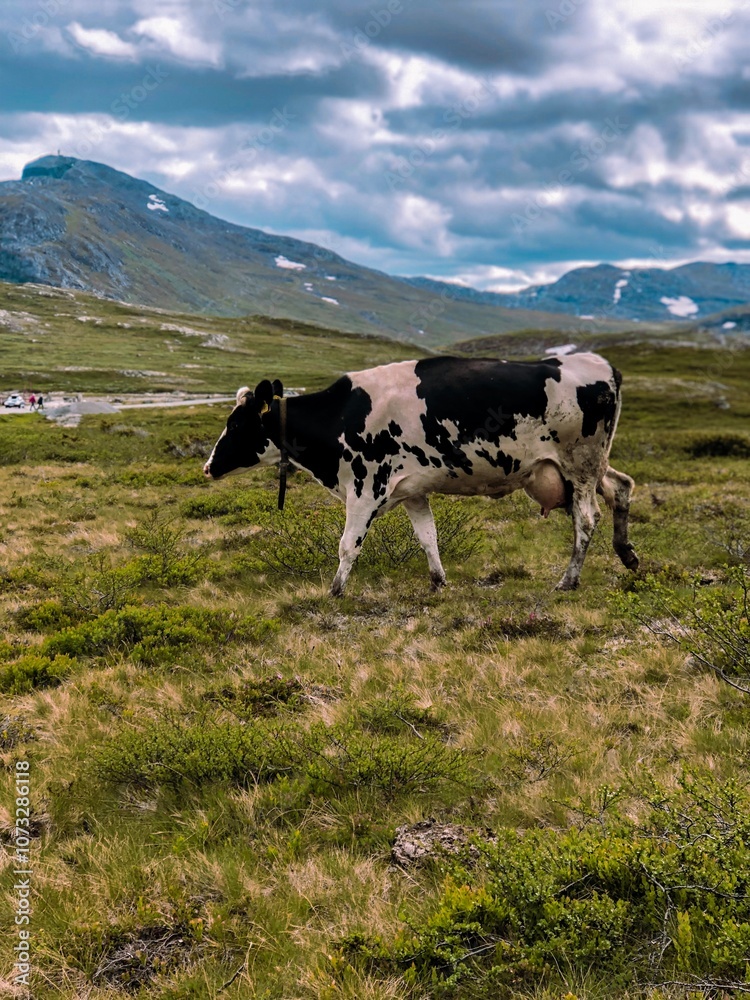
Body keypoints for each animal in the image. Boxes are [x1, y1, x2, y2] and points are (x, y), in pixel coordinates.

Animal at [203, 354, 639, 595]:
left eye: (237, 424)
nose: (208, 466)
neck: (339, 416)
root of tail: (601, 365)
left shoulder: (365, 485)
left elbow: (348, 545)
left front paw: (335, 590)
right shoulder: (412, 490)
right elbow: (428, 538)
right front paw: (438, 581)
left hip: (579, 464)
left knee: (587, 518)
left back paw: (568, 580)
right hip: (588, 466)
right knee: (622, 487)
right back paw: (628, 555)